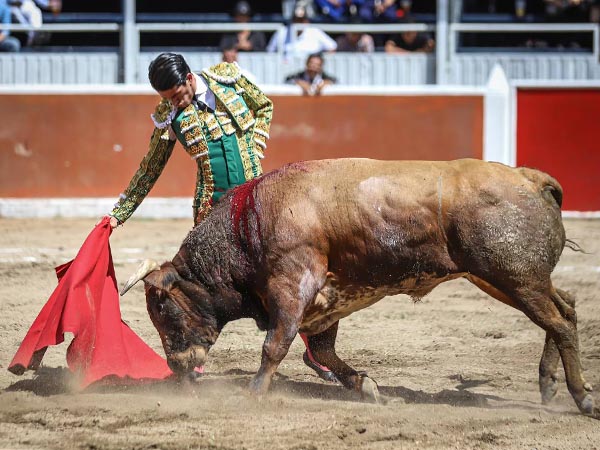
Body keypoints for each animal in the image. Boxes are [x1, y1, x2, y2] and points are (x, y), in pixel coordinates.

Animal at [123, 159, 600, 418]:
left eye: (163, 310)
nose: (177, 367)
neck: (247, 227)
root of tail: (530, 179)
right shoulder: (324, 303)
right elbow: (323, 349)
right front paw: (366, 386)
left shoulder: (293, 285)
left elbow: (275, 344)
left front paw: (254, 393)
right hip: (506, 278)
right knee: (567, 308)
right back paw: (548, 384)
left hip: (513, 276)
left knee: (559, 321)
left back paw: (581, 398)